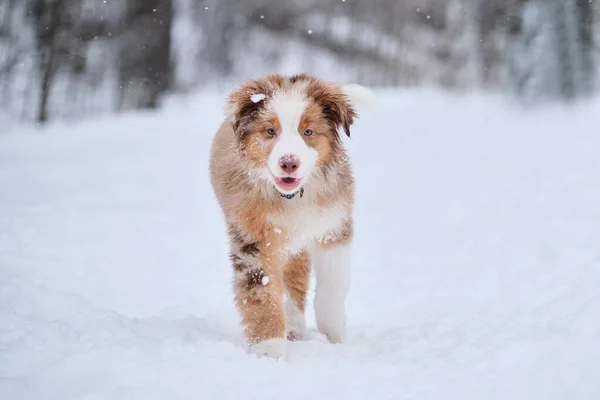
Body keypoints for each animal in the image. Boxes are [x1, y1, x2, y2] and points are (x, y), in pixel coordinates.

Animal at [210, 73, 370, 358]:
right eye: (270, 131)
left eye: (308, 132)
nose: (289, 163)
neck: (293, 198)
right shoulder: (253, 237)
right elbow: (261, 290)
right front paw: (268, 347)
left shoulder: (334, 227)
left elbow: (332, 287)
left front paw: (336, 336)